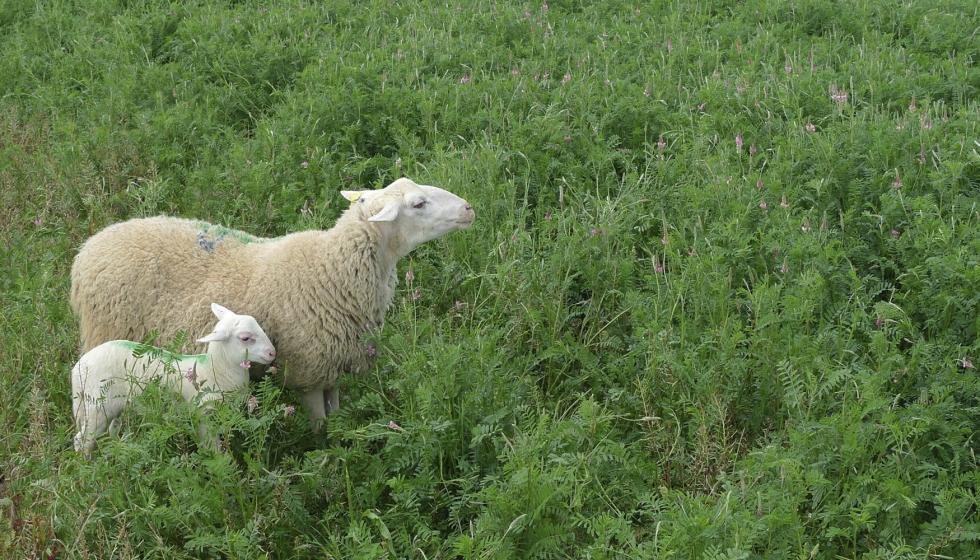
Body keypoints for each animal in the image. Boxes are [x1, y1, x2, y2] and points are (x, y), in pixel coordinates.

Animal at [69, 178, 474, 424]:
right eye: (419, 204)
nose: (469, 208)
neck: (332, 271)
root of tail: (88, 250)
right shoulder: (308, 369)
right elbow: (321, 427)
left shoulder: (334, 364)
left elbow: (336, 412)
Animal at [71, 302, 276, 460]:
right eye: (245, 338)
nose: (272, 353)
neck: (216, 370)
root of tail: (78, 368)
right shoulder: (203, 414)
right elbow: (212, 447)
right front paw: (222, 464)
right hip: (97, 406)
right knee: (82, 439)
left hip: (115, 406)